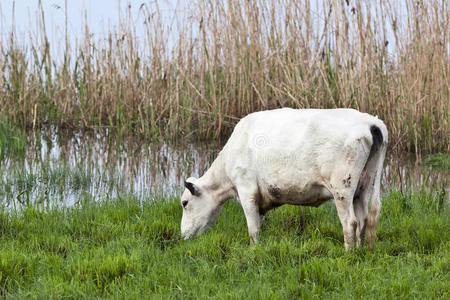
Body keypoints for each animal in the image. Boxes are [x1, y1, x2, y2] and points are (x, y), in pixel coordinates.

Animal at [181, 109, 388, 250]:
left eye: (184, 202)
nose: (182, 236)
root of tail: (371, 122)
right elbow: (258, 223)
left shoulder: (246, 188)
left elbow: (252, 228)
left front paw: (253, 250)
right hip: (364, 185)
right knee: (363, 219)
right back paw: (360, 250)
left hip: (342, 187)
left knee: (350, 223)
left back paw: (348, 253)